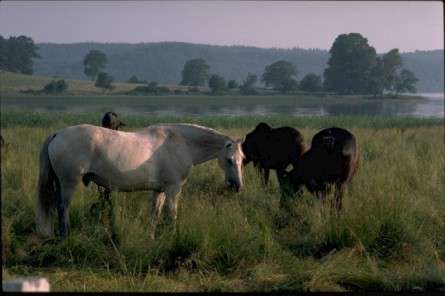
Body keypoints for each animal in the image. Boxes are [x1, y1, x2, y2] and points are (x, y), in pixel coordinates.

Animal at [36, 122, 245, 238]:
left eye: (242, 159)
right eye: (229, 159)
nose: (238, 186)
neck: (181, 143)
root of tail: (58, 133)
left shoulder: (159, 191)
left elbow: (155, 214)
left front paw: (151, 237)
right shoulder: (173, 190)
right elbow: (172, 214)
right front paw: (172, 238)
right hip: (68, 183)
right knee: (63, 208)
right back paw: (66, 236)